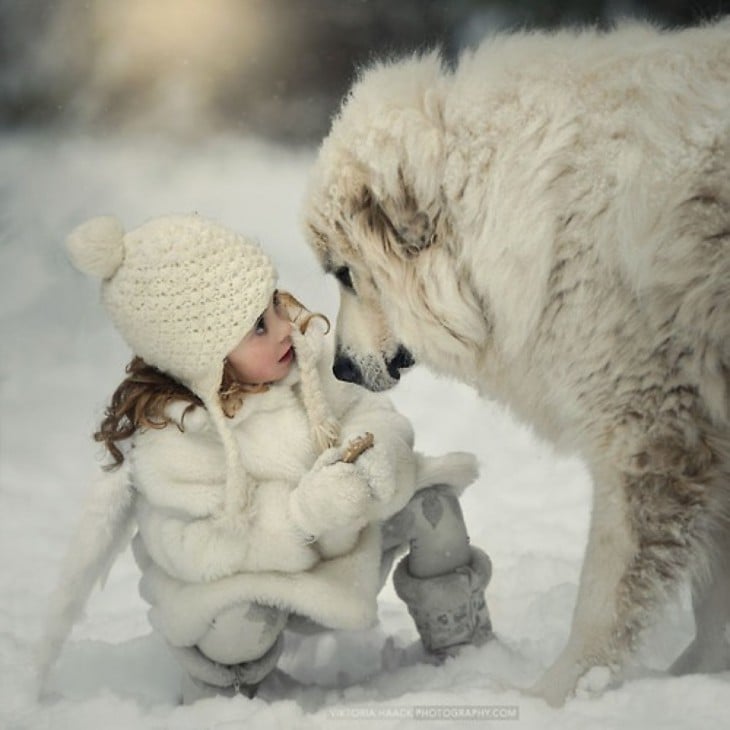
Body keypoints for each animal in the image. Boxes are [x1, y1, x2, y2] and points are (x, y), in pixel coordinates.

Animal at [302, 22, 728, 704]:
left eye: (346, 274)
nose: (340, 368)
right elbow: (713, 588)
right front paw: (701, 673)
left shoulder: (650, 436)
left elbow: (604, 597)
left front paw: (556, 696)